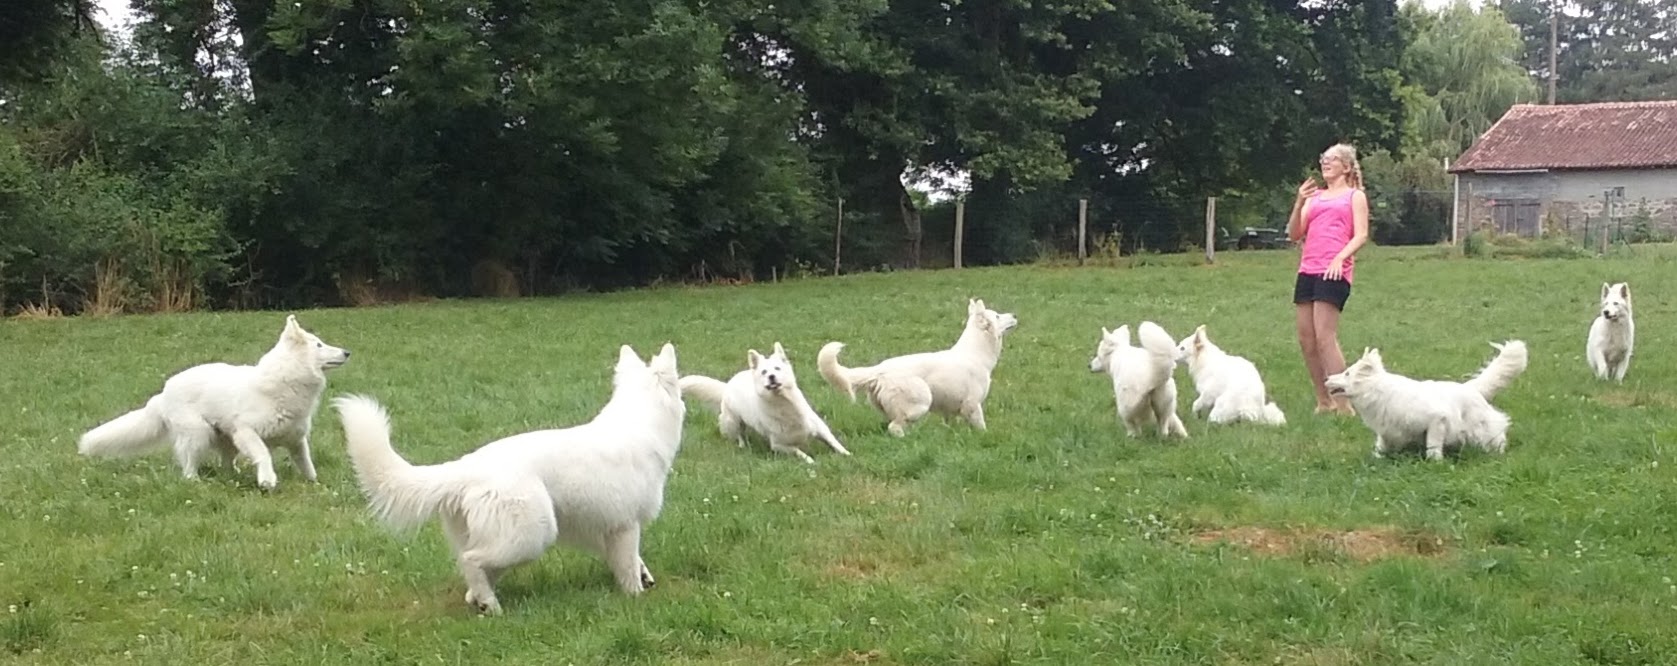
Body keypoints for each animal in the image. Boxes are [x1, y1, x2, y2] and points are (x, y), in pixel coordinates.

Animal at [76, 312, 350, 486]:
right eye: (318, 345)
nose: (347, 352)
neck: (285, 382)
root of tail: (162, 393)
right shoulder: (247, 432)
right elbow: (264, 454)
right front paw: (267, 480)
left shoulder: (295, 440)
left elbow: (307, 463)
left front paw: (314, 483)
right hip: (199, 433)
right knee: (188, 462)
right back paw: (194, 481)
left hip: (225, 438)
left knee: (226, 463)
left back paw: (232, 476)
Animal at [330, 342, 684, 613]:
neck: (639, 425)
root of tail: (465, 467)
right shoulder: (624, 526)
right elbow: (627, 565)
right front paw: (636, 596)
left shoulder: (603, 529)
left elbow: (634, 559)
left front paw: (644, 576)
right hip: (531, 536)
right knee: (472, 561)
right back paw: (490, 604)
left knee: (475, 568)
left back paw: (478, 598)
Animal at [677, 342, 851, 463]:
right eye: (764, 372)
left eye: (777, 368)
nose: (771, 377)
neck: (784, 404)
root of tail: (728, 384)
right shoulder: (779, 445)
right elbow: (799, 452)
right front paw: (809, 461)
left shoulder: (820, 428)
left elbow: (834, 443)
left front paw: (847, 454)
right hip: (733, 421)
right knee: (739, 434)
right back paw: (742, 445)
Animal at [815, 296, 1012, 436]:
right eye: (997, 316)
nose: (1014, 315)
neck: (975, 352)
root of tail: (879, 370)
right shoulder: (973, 405)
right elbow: (981, 427)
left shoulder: (950, 410)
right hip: (920, 404)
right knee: (894, 428)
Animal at [1321, 340, 1536, 459]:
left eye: (1347, 373)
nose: (1326, 379)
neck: (1380, 392)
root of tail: (1471, 387)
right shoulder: (1387, 432)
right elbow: (1380, 447)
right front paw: (1377, 458)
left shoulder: (1436, 421)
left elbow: (1432, 446)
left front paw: (1435, 461)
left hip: (1482, 429)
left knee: (1496, 436)